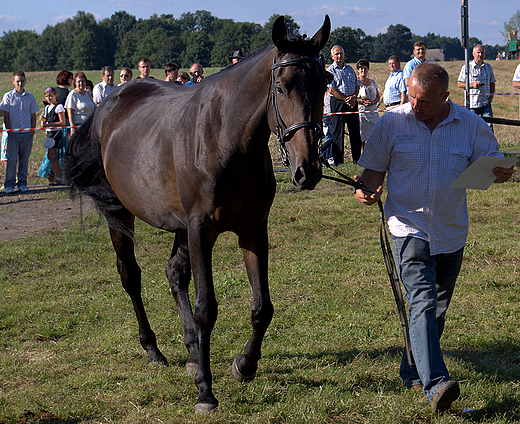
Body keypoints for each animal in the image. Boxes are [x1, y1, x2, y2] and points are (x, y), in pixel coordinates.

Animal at [64, 14, 330, 412]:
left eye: (324, 84)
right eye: (281, 88)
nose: (307, 170)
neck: (226, 139)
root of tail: (108, 105)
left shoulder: (253, 230)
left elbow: (262, 307)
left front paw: (244, 364)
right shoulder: (201, 230)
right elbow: (208, 309)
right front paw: (205, 390)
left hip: (180, 227)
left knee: (175, 273)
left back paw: (191, 351)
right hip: (121, 215)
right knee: (131, 276)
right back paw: (154, 349)